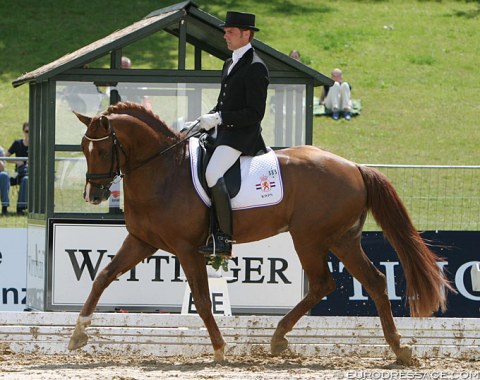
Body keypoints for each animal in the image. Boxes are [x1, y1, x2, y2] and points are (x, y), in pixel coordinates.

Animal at [69, 102, 452, 364]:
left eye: (101, 149)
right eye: (83, 149)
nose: (93, 195)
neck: (164, 170)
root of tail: (355, 167)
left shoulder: (187, 249)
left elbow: (204, 301)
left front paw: (220, 349)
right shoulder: (142, 242)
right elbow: (103, 276)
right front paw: (78, 333)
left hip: (309, 238)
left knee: (323, 283)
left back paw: (279, 337)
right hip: (341, 239)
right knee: (372, 281)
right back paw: (398, 348)